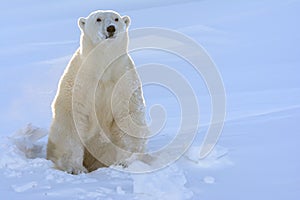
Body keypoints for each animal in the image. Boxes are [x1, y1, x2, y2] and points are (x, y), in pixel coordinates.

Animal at [47, 10, 149, 174]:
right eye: (98, 19)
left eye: (116, 18)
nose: (111, 28)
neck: (103, 67)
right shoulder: (81, 81)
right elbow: (72, 118)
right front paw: (75, 168)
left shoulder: (123, 79)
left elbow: (128, 115)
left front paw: (124, 162)